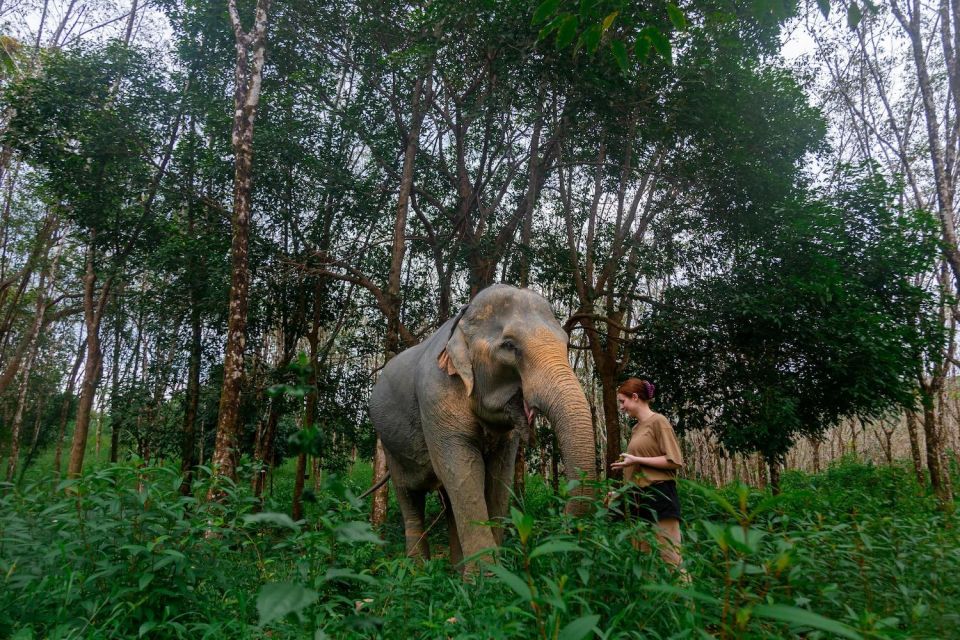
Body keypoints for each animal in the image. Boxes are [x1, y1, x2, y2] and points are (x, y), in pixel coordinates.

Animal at [372, 284, 596, 564]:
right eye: (509, 346)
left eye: (566, 344)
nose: (561, 528)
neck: (462, 321)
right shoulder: (435, 398)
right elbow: (463, 470)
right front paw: (488, 575)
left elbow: (499, 476)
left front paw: (496, 570)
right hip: (390, 447)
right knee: (409, 498)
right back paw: (418, 569)